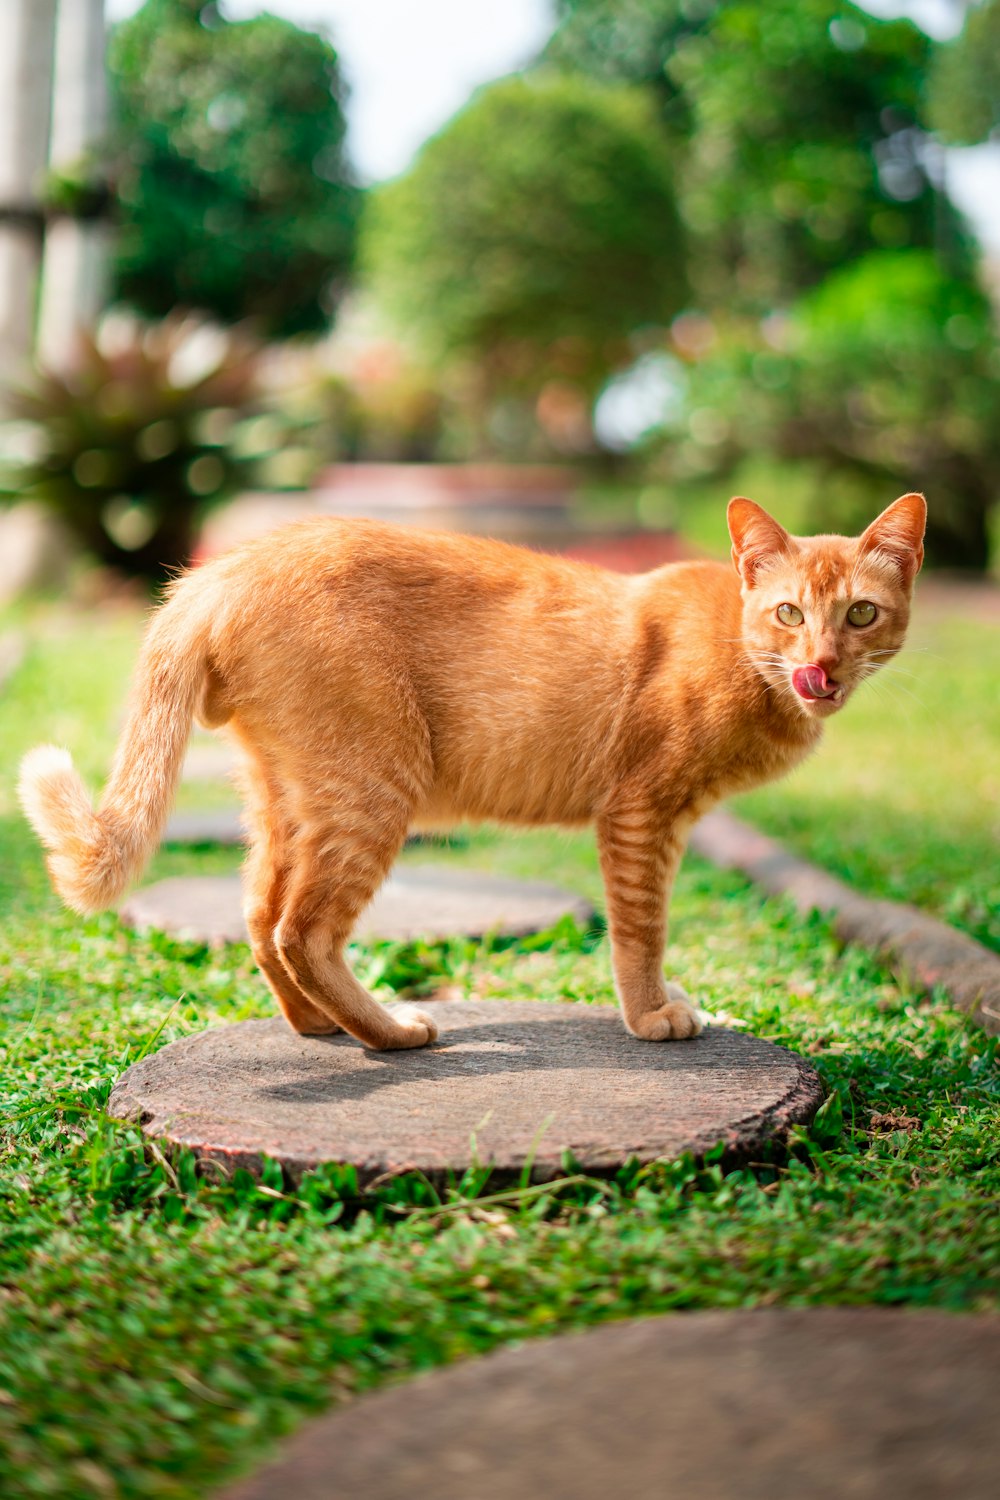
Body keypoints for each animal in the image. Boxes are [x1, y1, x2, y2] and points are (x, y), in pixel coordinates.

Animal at [19, 498, 929, 1050]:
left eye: (860, 614)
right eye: (789, 613)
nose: (823, 666)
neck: (743, 652)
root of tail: (221, 570)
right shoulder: (641, 815)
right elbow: (642, 929)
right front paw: (650, 1014)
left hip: (287, 800)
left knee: (258, 915)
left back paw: (317, 1026)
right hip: (373, 791)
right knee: (302, 930)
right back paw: (388, 1032)